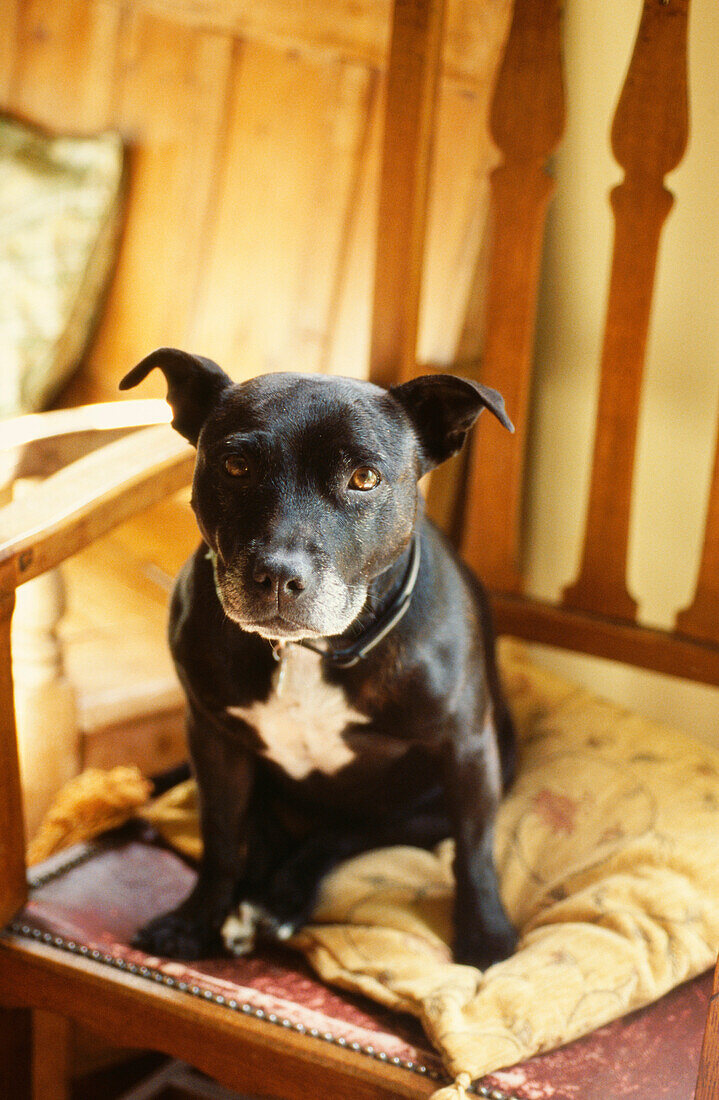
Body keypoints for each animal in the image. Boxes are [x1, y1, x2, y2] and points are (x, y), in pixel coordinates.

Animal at [119, 347, 518, 968]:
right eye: (236, 466)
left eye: (364, 478)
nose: (279, 576)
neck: (310, 652)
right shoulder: (212, 738)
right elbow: (219, 837)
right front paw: (195, 919)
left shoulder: (467, 749)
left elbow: (474, 851)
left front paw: (487, 938)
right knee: (270, 829)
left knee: (344, 835)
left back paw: (275, 900)